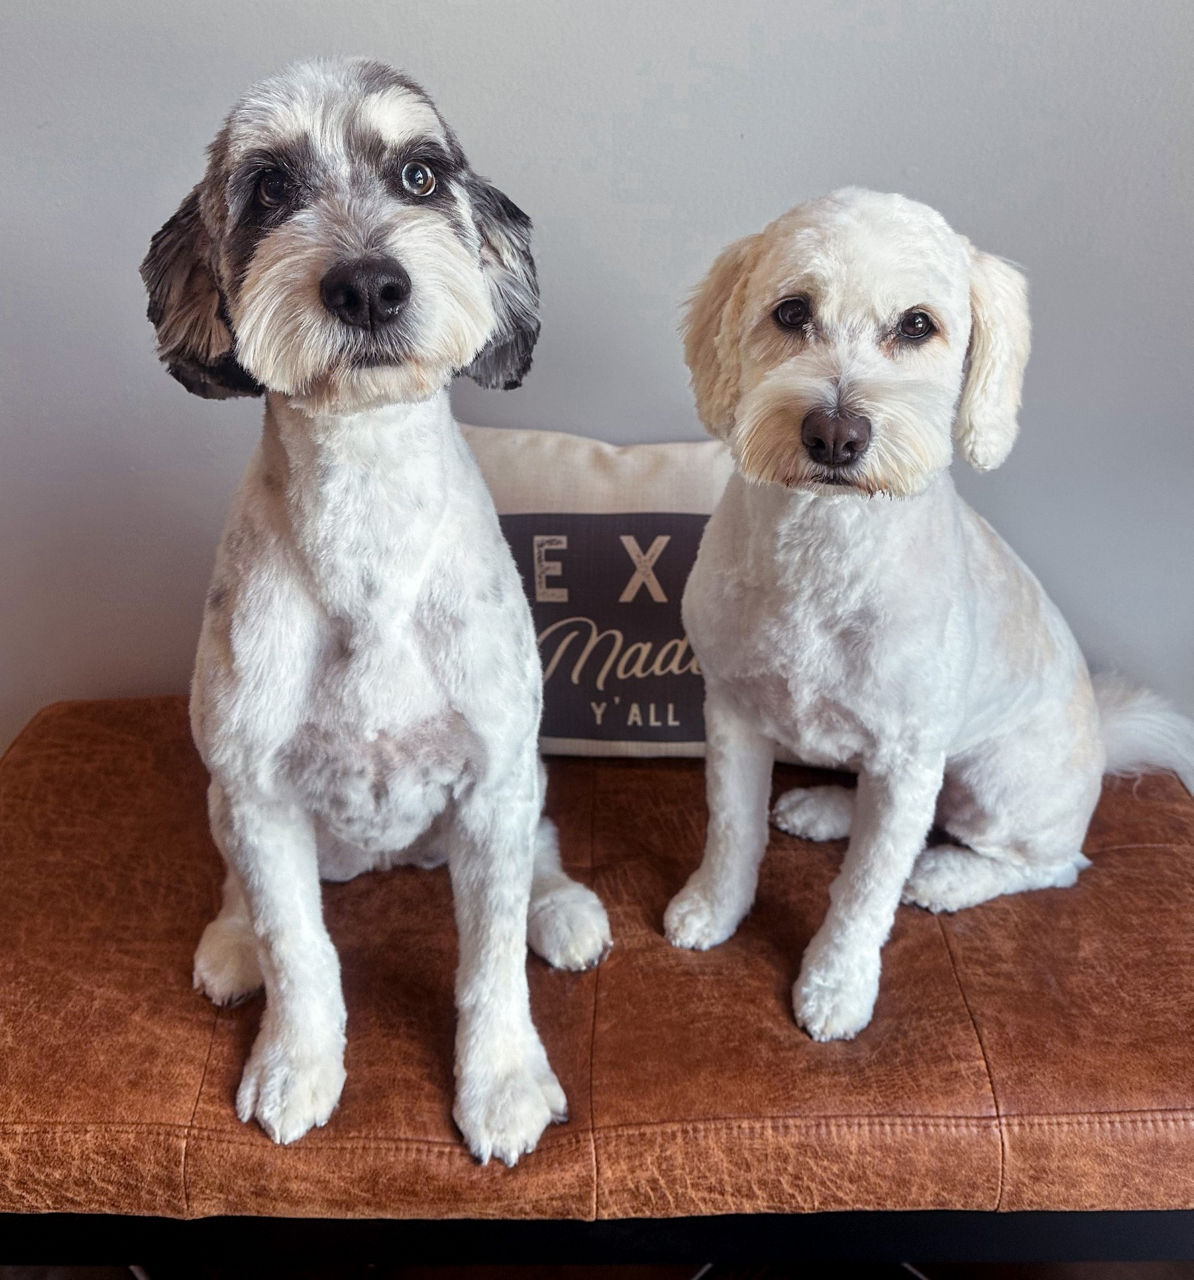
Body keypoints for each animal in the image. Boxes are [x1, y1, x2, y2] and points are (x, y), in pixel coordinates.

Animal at [138, 57, 606, 1162]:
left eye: (420, 174)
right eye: (269, 187)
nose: (367, 283)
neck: (367, 517)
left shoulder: (494, 773)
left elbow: (488, 959)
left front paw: (503, 1080)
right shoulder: (259, 795)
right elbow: (300, 948)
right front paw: (294, 1063)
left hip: (517, 783)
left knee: (540, 850)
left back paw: (562, 908)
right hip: (227, 799)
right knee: (241, 890)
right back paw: (231, 942)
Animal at [660, 192, 1192, 1049]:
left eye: (917, 325)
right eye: (791, 311)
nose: (834, 433)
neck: (825, 547)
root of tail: (1105, 741)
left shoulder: (910, 754)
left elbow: (866, 892)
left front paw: (837, 986)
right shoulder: (734, 713)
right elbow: (733, 829)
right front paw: (715, 908)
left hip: (998, 780)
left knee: (1045, 863)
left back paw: (947, 874)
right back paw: (829, 808)